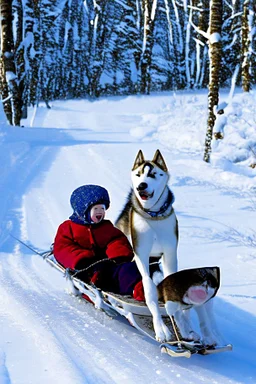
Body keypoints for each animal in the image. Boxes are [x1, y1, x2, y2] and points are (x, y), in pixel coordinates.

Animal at [116, 150, 222, 344]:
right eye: (139, 174)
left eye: (153, 174)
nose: (141, 186)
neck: (153, 216)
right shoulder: (142, 254)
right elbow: (150, 290)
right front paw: (161, 328)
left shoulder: (170, 254)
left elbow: (172, 284)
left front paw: (184, 327)